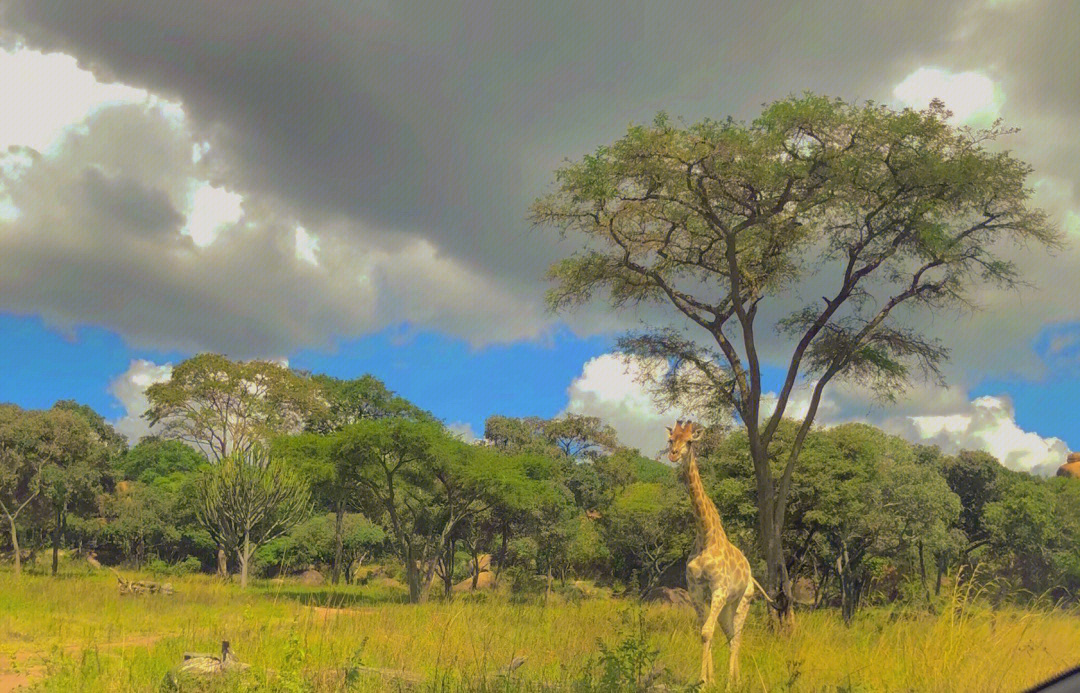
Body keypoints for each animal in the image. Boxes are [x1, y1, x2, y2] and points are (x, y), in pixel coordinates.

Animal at [660, 414, 764, 686]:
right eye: (671, 439)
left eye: (690, 441)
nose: (674, 454)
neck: (704, 536)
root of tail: (752, 576)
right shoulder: (696, 591)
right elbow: (704, 632)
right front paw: (707, 680)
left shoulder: (718, 589)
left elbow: (707, 631)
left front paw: (707, 681)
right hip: (727, 606)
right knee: (729, 633)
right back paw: (733, 679)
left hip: (742, 601)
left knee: (737, 636)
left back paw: (732, 682)